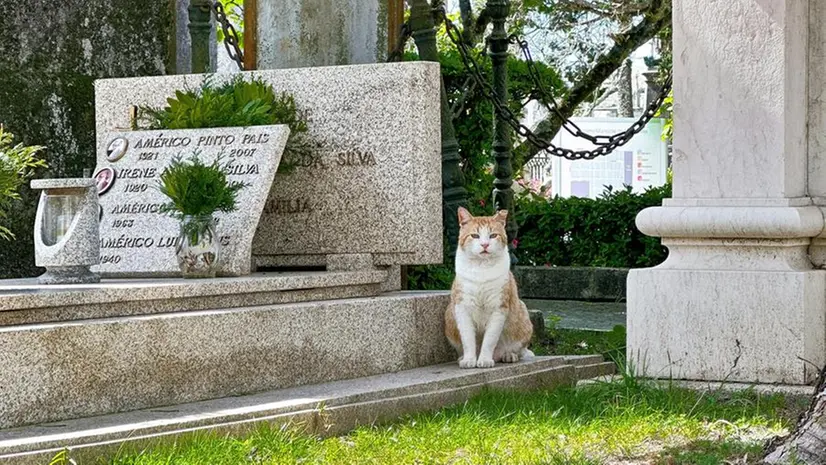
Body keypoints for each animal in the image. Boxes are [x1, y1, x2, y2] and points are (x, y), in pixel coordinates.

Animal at [444, 206, 536, 366]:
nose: (485, 244)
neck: (482, 268)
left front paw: (485, 360)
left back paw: (508, 355)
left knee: (519, 350)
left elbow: (489, 340)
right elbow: (468, 339)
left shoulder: (498, 309)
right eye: (474, 235)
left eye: (493, 235)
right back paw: (462, 357)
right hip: (449, 316)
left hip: (523, 315)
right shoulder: (462, 307)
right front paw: (469, 359)